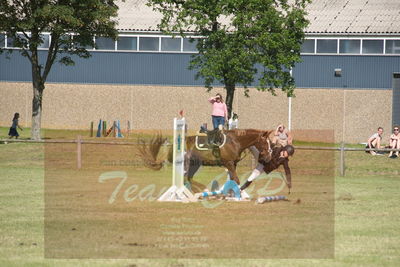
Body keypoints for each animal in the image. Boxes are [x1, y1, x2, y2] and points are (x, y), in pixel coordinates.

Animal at [138, 129, 272, 187]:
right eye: (265, 143)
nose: (269, 156)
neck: (235, 141)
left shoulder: (233, 164)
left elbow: (233, 179)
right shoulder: (228, 163)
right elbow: (236, 180)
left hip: (195, 165)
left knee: (189, 178)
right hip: (186, 163)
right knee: (185, 179)